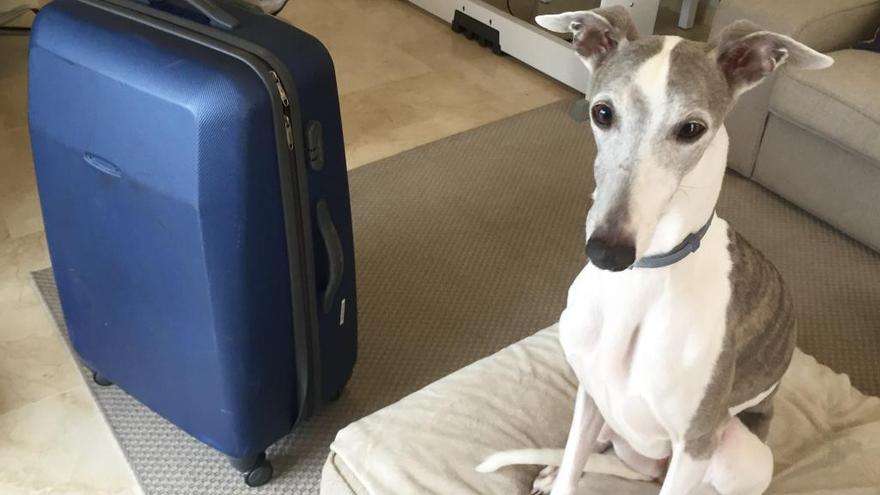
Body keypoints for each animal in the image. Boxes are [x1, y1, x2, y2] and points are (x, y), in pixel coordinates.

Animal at [482, 6, 832, 495]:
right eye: (602, 112)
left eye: (692, 129)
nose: (607, 253)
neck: (640, 284)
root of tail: (649, 467)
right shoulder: (590, 394)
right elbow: (573, 464)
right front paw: (559, 473)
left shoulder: (696, 443)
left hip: (736, 456)